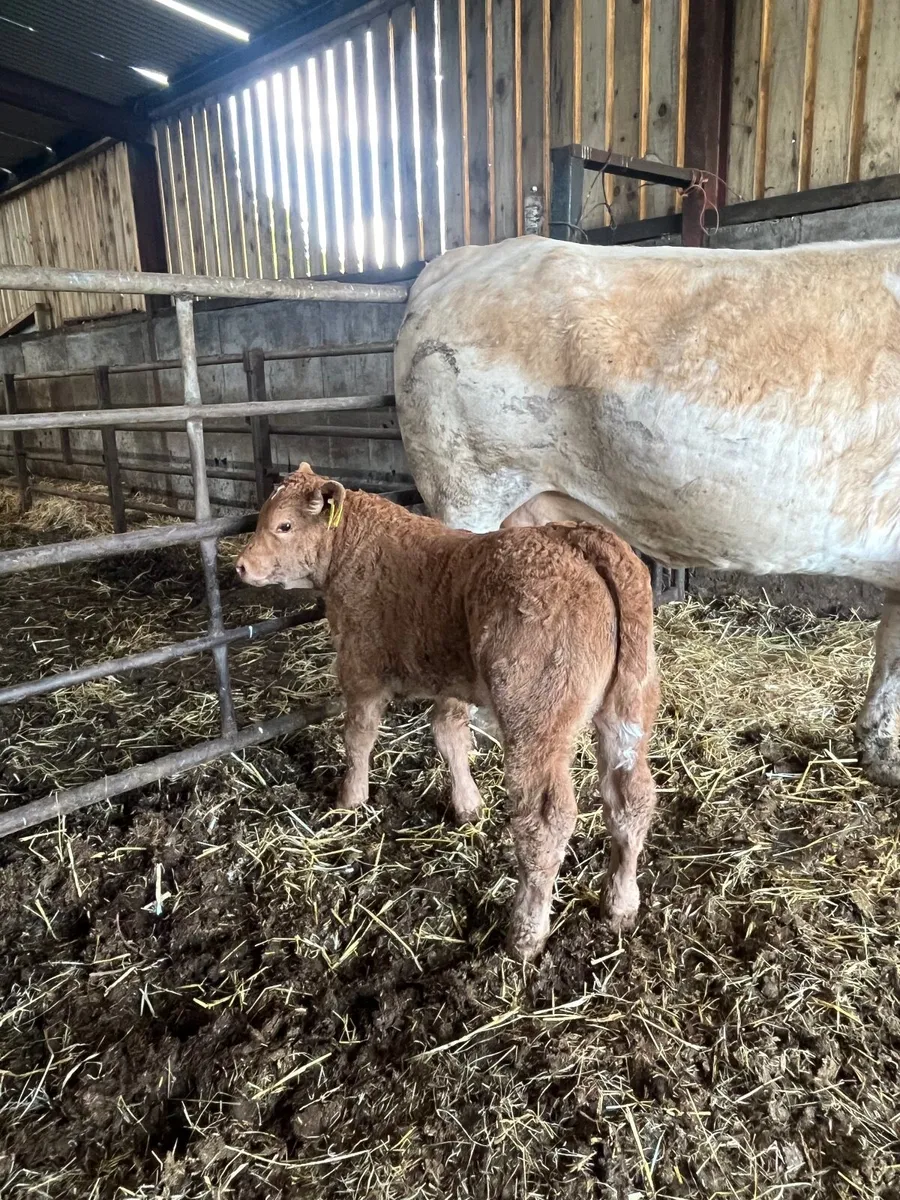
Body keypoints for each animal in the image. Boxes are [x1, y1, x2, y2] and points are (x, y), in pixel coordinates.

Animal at [235, 464, 659, 961]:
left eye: (284, 525)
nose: (241, 565)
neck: (354, 548)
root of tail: (578, 538)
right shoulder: (453, 679)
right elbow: (449, 733)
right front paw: (468, 805)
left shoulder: (360, 667)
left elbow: (358, 735)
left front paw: (350, 798)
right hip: (629, 706)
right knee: (631, 798)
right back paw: (620, 905)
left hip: (536, 719)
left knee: (545, 821)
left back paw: (525, 933)